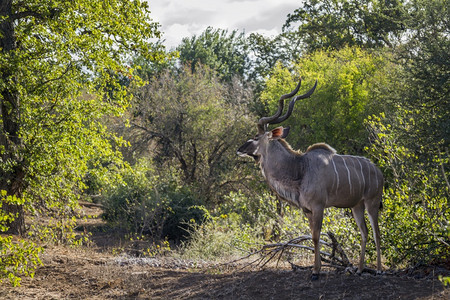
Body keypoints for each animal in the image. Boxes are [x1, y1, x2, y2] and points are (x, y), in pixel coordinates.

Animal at [236, 78, 384, 280]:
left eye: (256, 137)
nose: (239, 149)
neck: (300, 169)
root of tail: (378, 171)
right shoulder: (306, 210)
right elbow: (313, 235)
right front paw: (317, 269)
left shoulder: (318, 206)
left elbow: (315, 236)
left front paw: (315, 272)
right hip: (356, 206)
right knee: (365, 233)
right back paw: (360, 269)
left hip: (372, 202)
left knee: (377, 233)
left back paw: (378, 270)